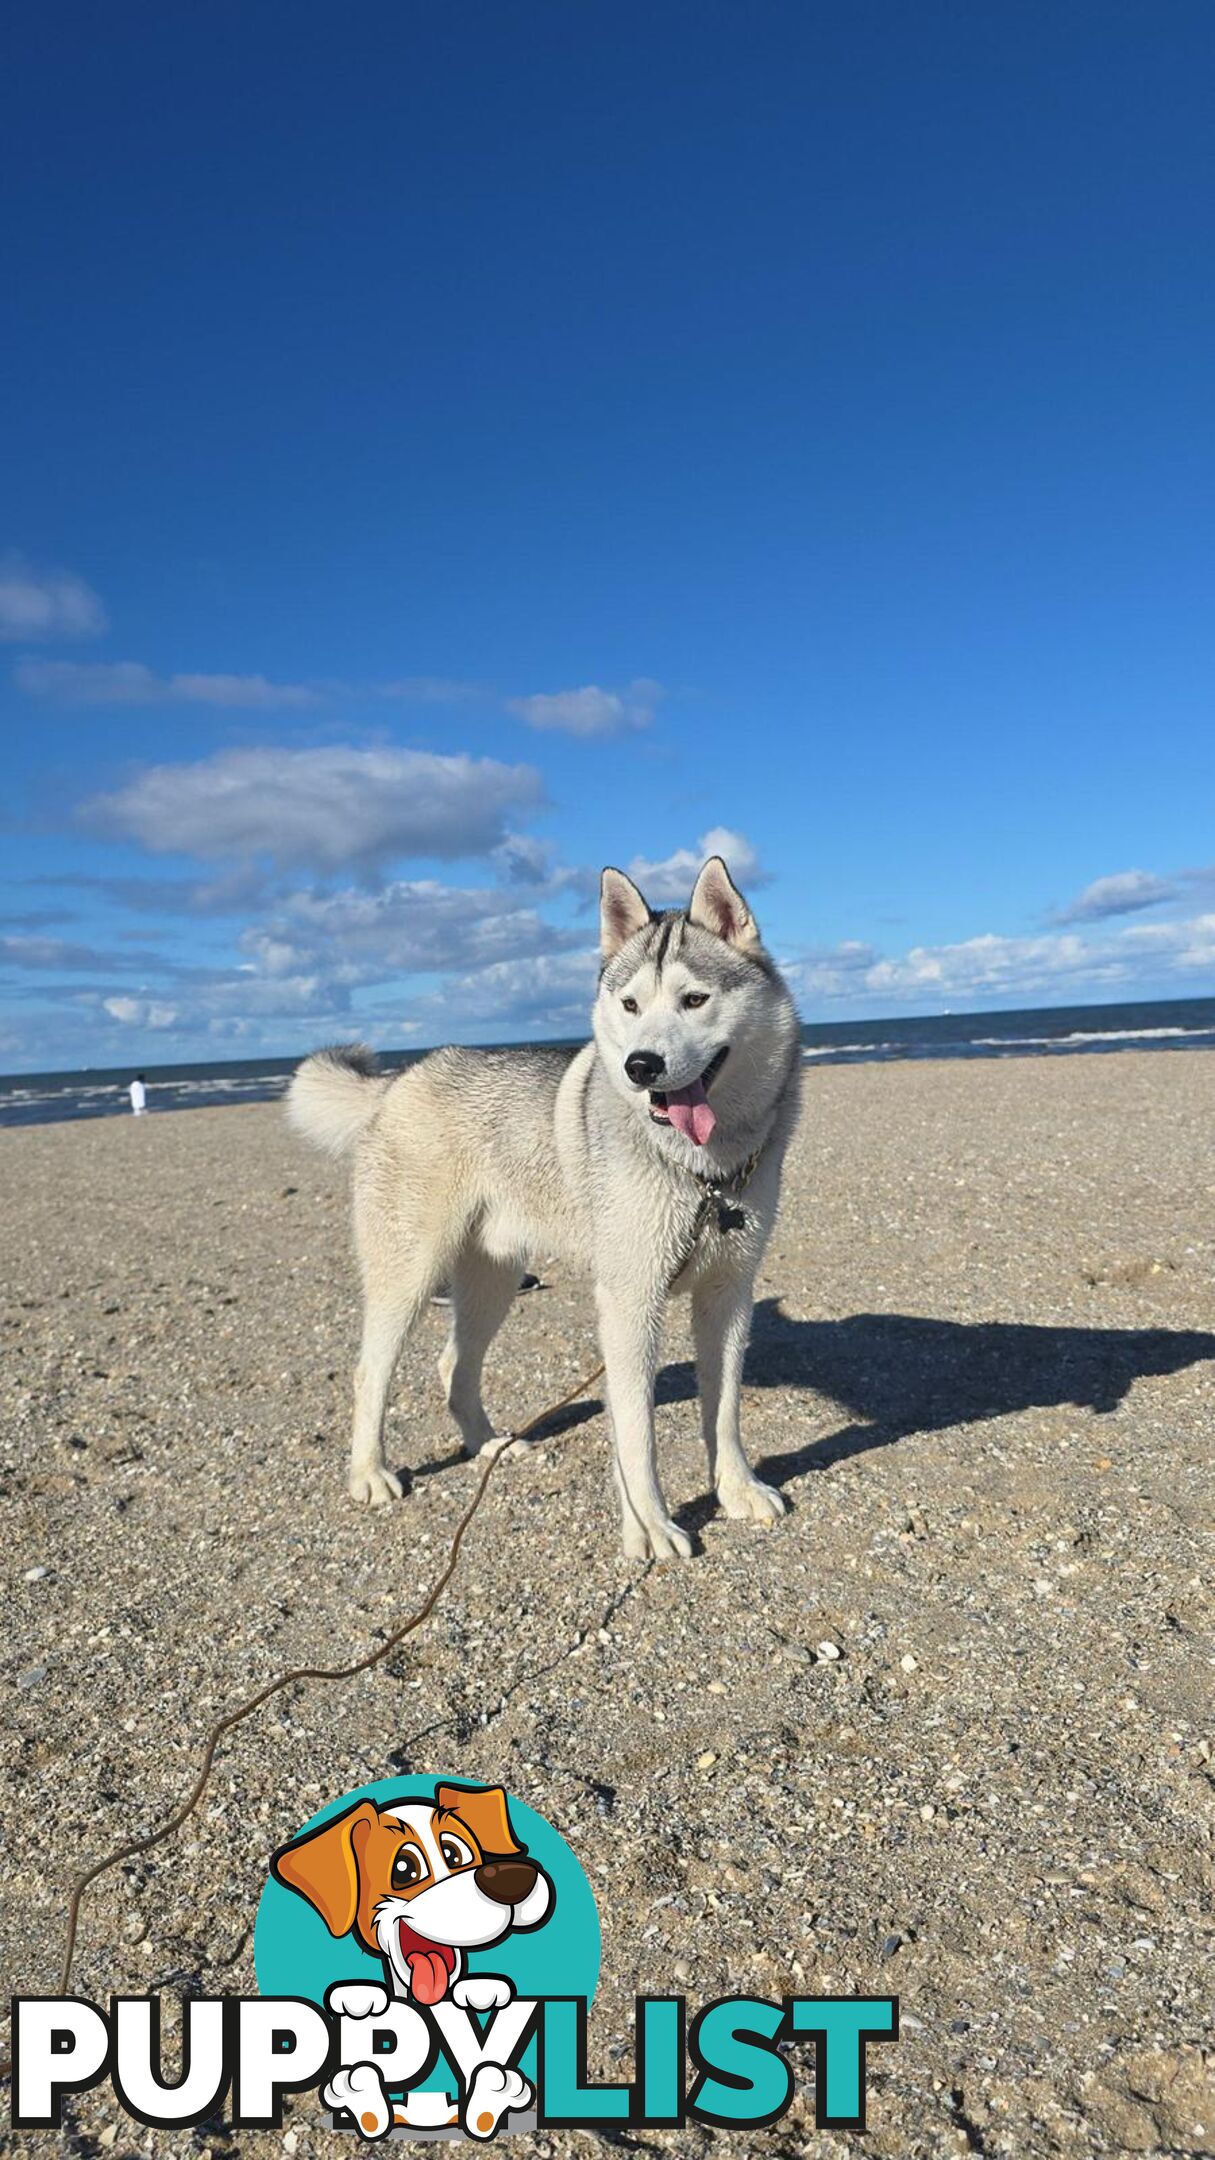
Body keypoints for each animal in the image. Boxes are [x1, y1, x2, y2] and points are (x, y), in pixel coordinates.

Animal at [287, 855, 799, 1555]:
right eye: (630, 1004)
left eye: (695, 1000)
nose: (641, 1065)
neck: (703, 1173)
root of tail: (398, 1082)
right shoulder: (630, 1301)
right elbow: (636, 1432)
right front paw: (649, 1525)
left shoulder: (727, 1295)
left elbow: (723, 1412)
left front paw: (737, 1490)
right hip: (411, 1274)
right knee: (372, 1372)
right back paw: (369, 1473)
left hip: (494, 1279)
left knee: (454, 1362)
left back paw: (486, 1444)